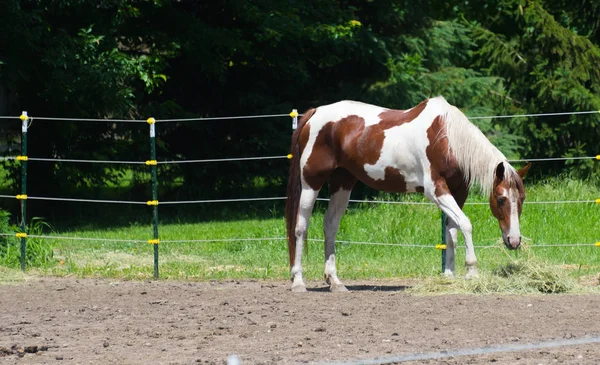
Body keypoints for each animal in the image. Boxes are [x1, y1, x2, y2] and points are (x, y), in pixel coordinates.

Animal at [286, 95, 528, 292]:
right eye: (501, 199)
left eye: (522, 200)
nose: (514, 241)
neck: (446, 138)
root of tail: (315, 112)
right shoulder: (436, 190)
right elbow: (466, 224)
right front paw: (471, 271)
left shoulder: (458, 192)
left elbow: (452, 231)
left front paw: (449, 276)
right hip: (311, 182)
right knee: (300, 227)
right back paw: (298, 281)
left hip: (342, 182)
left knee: (330, 226)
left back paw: (335, 281)